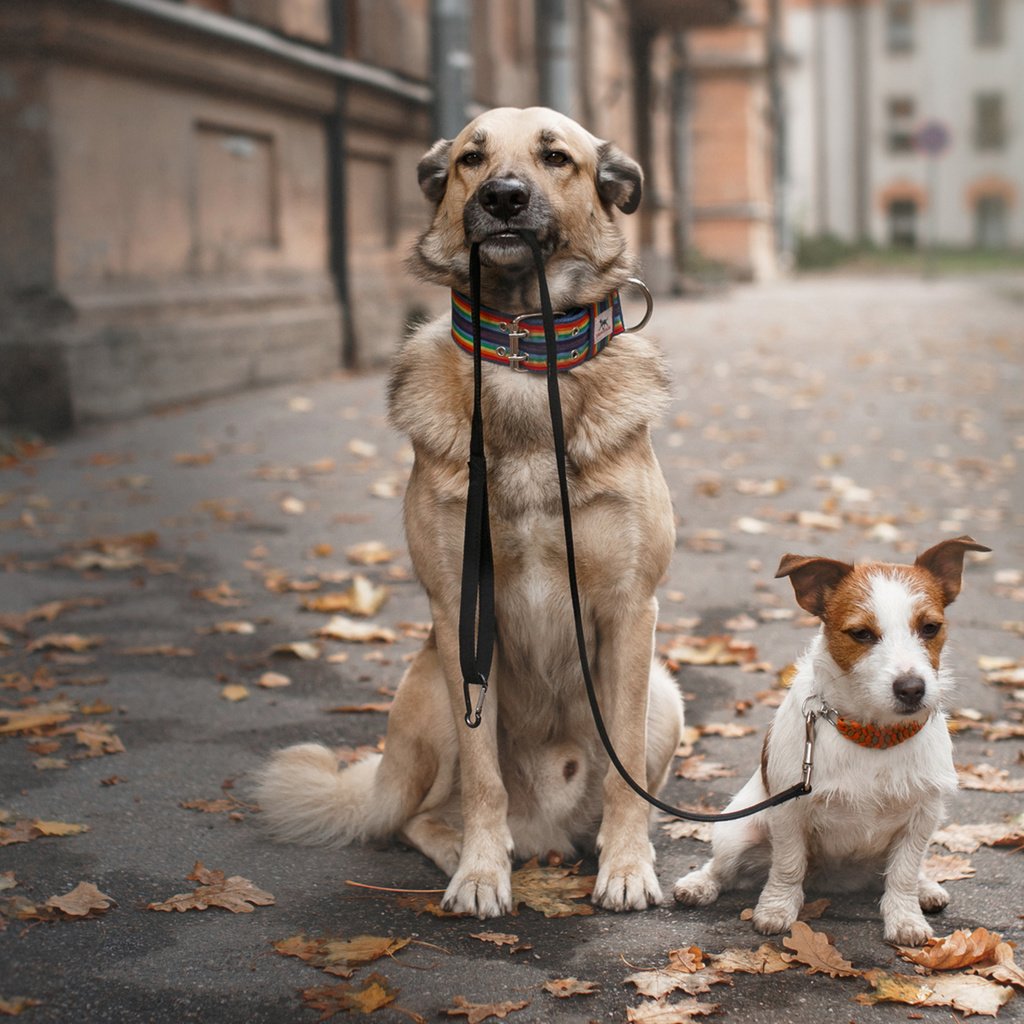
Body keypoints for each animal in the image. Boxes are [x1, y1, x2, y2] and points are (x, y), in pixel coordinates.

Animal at [256, 108, 684, 917]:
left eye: (556, 157)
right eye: (470, 158)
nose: (503, 198)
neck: (523, 352)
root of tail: (548, 830)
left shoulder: (629, 612)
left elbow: (625, 777)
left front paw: (627, 866)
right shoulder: (461, 610)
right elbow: (483, 777)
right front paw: (484, 871)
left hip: (663, 697)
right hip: (429, 684)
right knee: (419, 815)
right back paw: (466, 849)